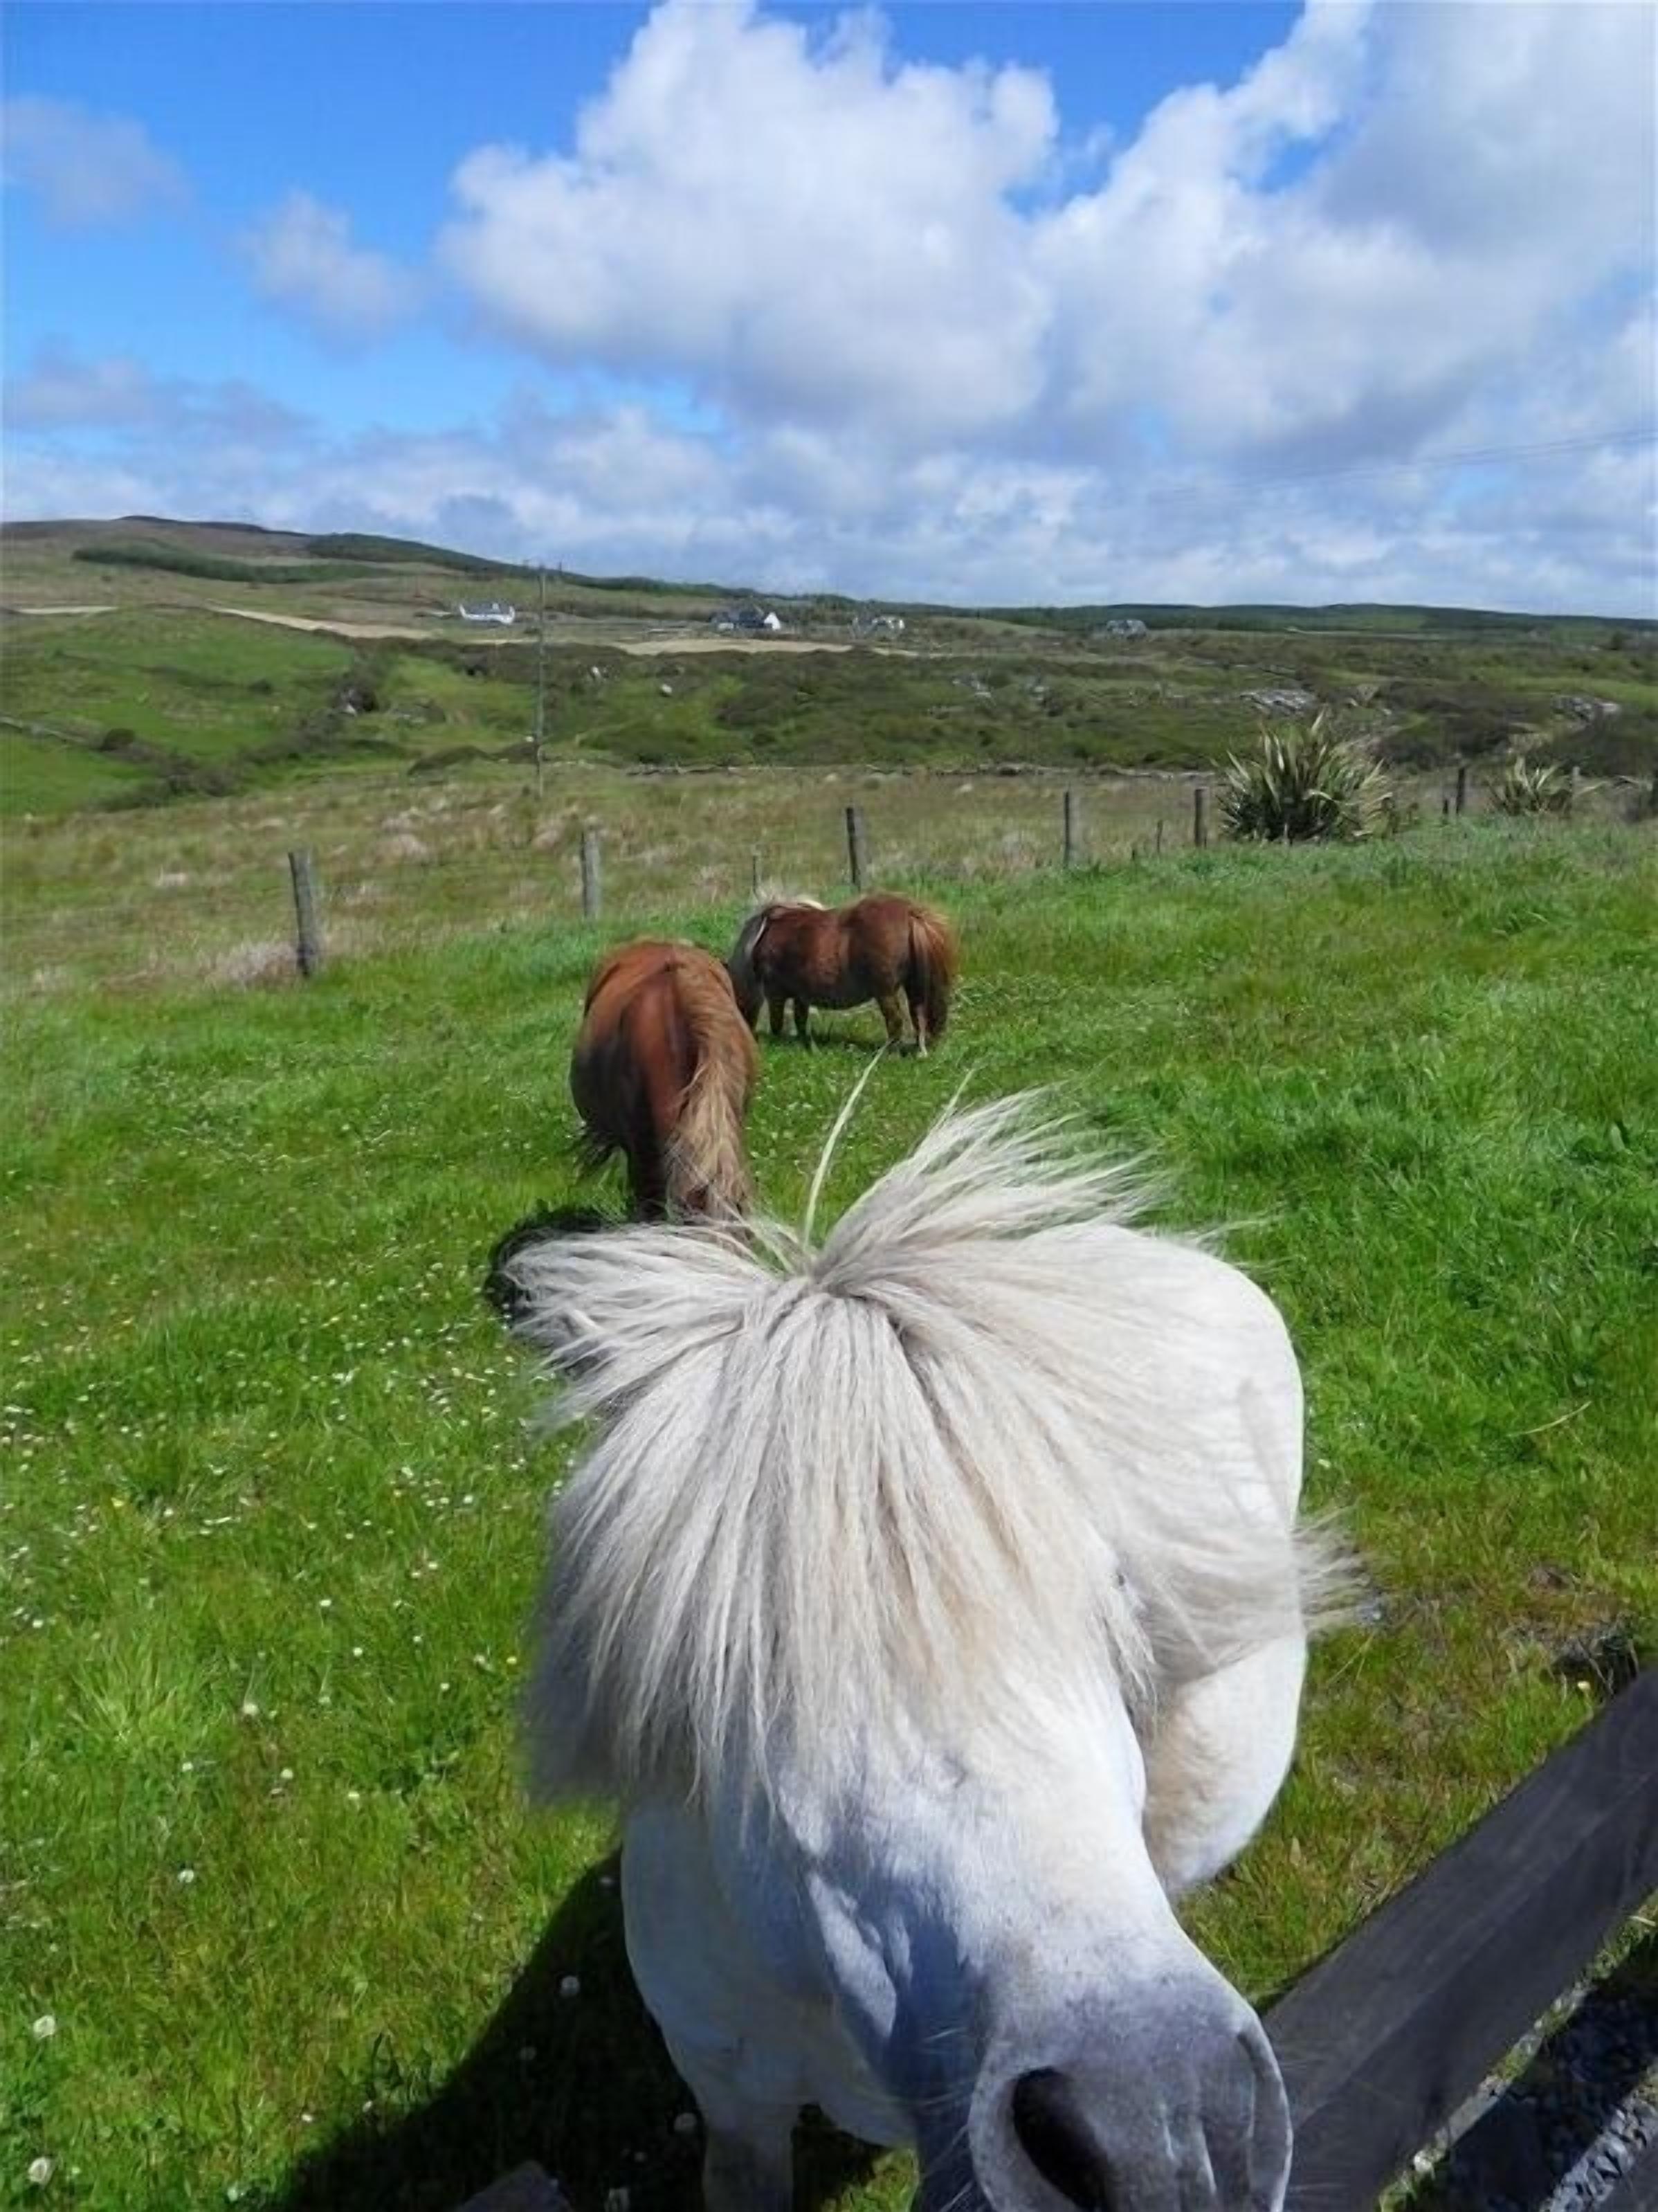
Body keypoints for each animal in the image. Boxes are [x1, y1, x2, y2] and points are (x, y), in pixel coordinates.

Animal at [727, 892, 959, 1053]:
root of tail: (910, 913)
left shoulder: (775, 992)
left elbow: (777, 1023)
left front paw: (778, 1043)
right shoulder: (801, 996)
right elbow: (800, 1021)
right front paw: (804, 1044)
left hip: (885, 993)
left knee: (895, 1022)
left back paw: (889, 1052)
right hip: (914, 986)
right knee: (918, 1015)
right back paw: (920, 1051)